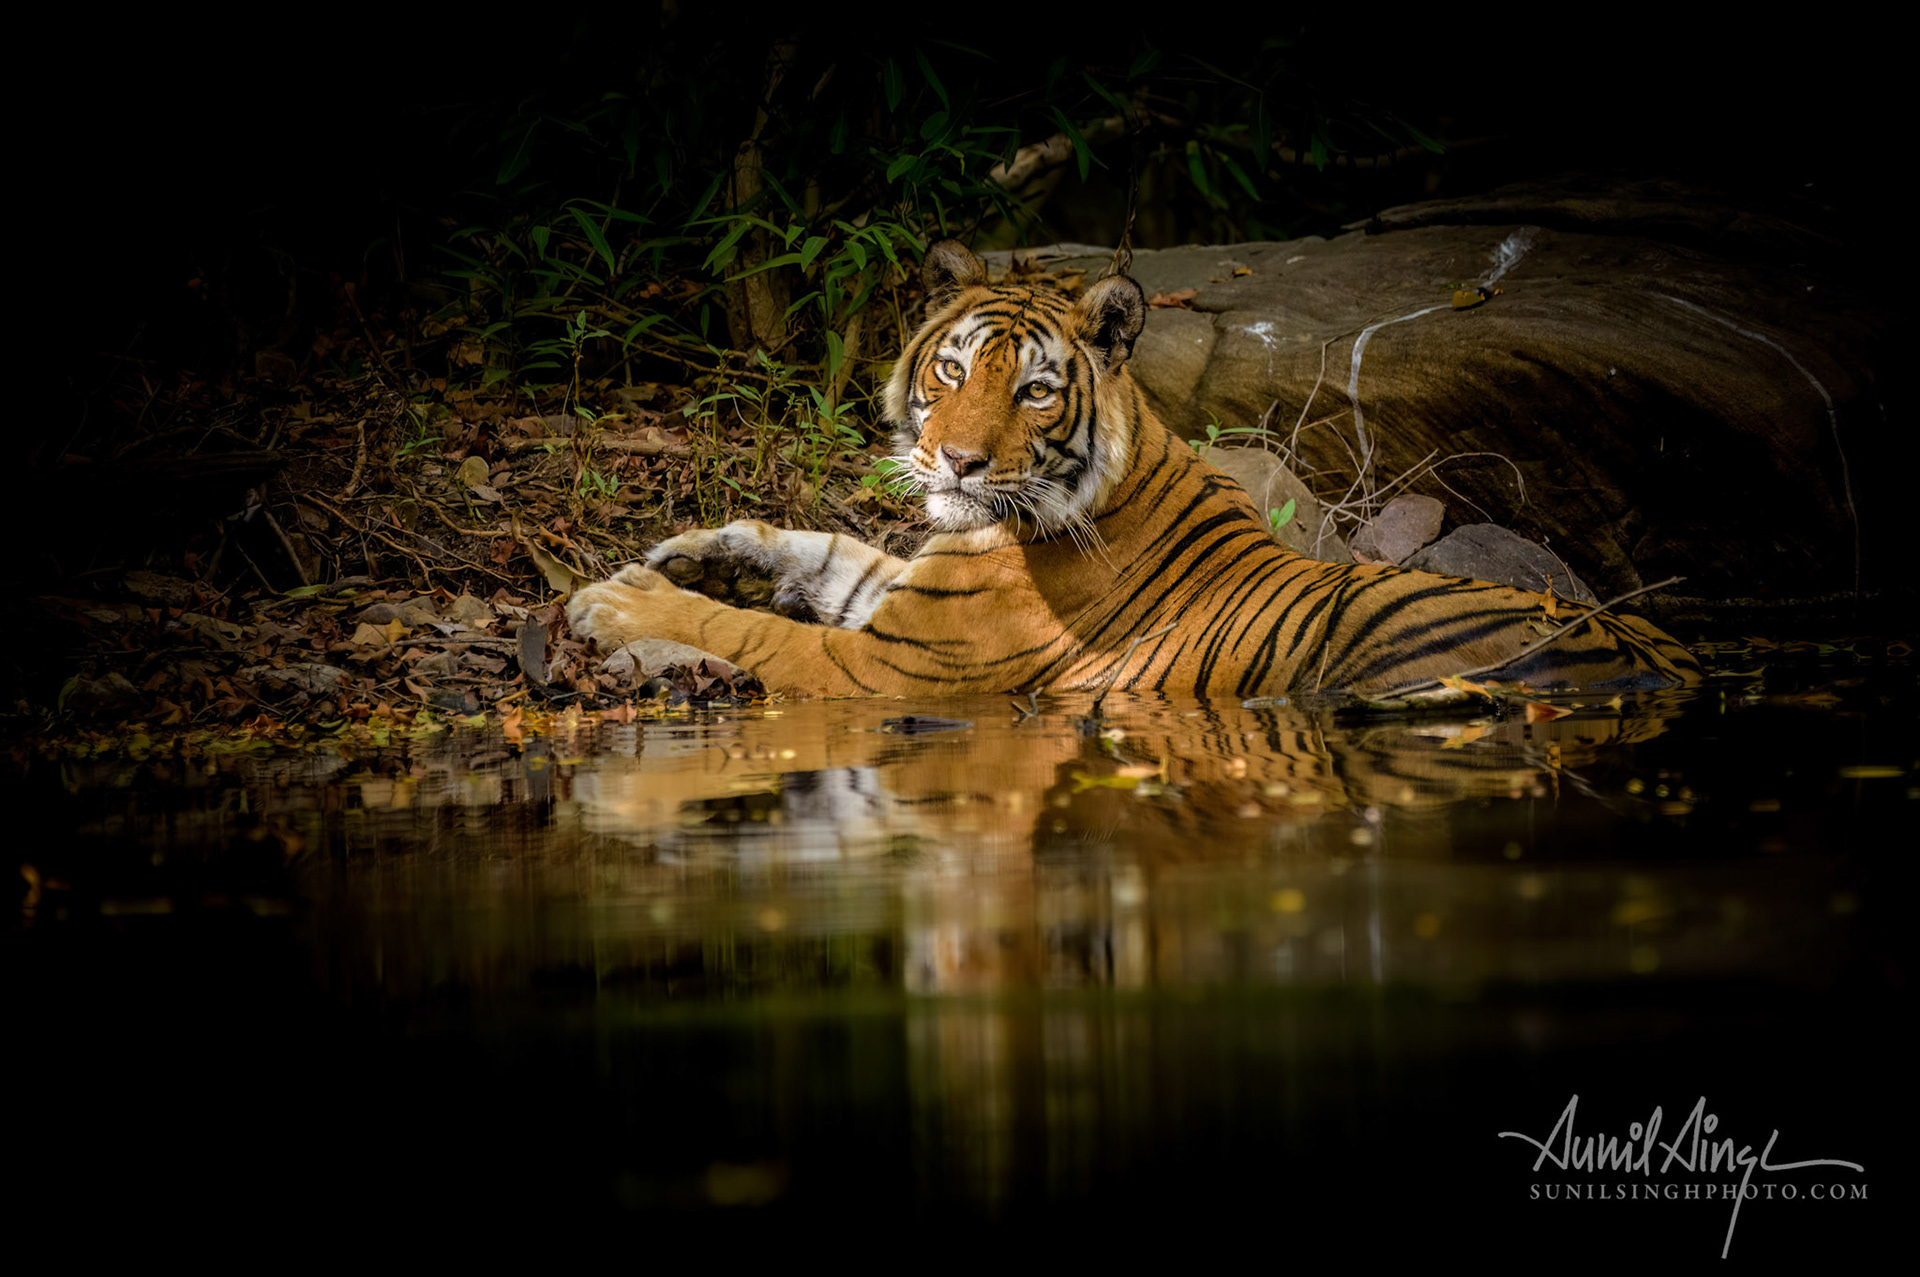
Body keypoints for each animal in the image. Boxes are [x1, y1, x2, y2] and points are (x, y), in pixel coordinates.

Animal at [566, 240, 1703, 702]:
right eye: (951, 368)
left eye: (1033, 392)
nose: (956, 459)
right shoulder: (908, 591)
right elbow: (821, 548)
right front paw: (695, 549)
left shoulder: (887, 668)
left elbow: (752, 630)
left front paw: (616, 598)